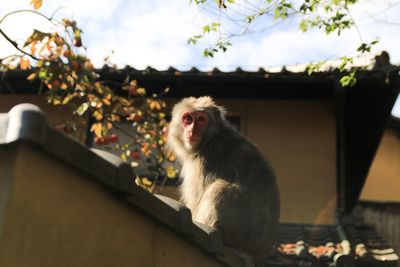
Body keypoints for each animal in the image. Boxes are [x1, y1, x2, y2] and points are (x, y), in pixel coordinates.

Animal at [167, 96, 280, 266]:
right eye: (188, 118)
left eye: (201, 119)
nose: (192, 130)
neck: (210, 138)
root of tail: (260, 254)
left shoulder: (206, 159)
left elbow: (196, 202)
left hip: (242, 233)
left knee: (220, 188)